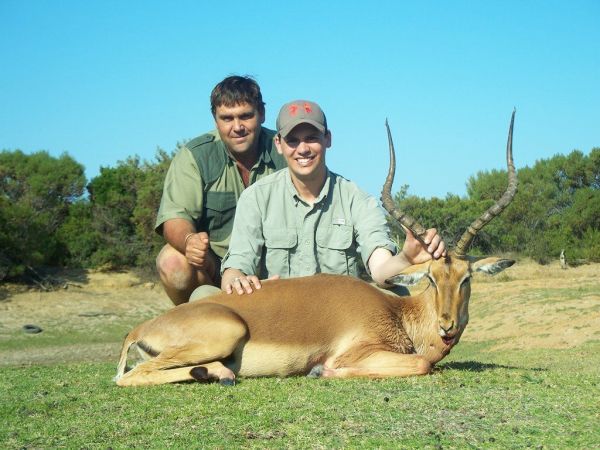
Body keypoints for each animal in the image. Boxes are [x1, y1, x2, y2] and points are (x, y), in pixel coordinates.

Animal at [115, 111, 517, 387]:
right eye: (431, 279)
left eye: (466, 278)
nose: (447, 326)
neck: (399, 314)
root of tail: (141, 328)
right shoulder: (360, 351)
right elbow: (422, 364)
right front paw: (321, 370)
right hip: (224, 334)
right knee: (128, 376)